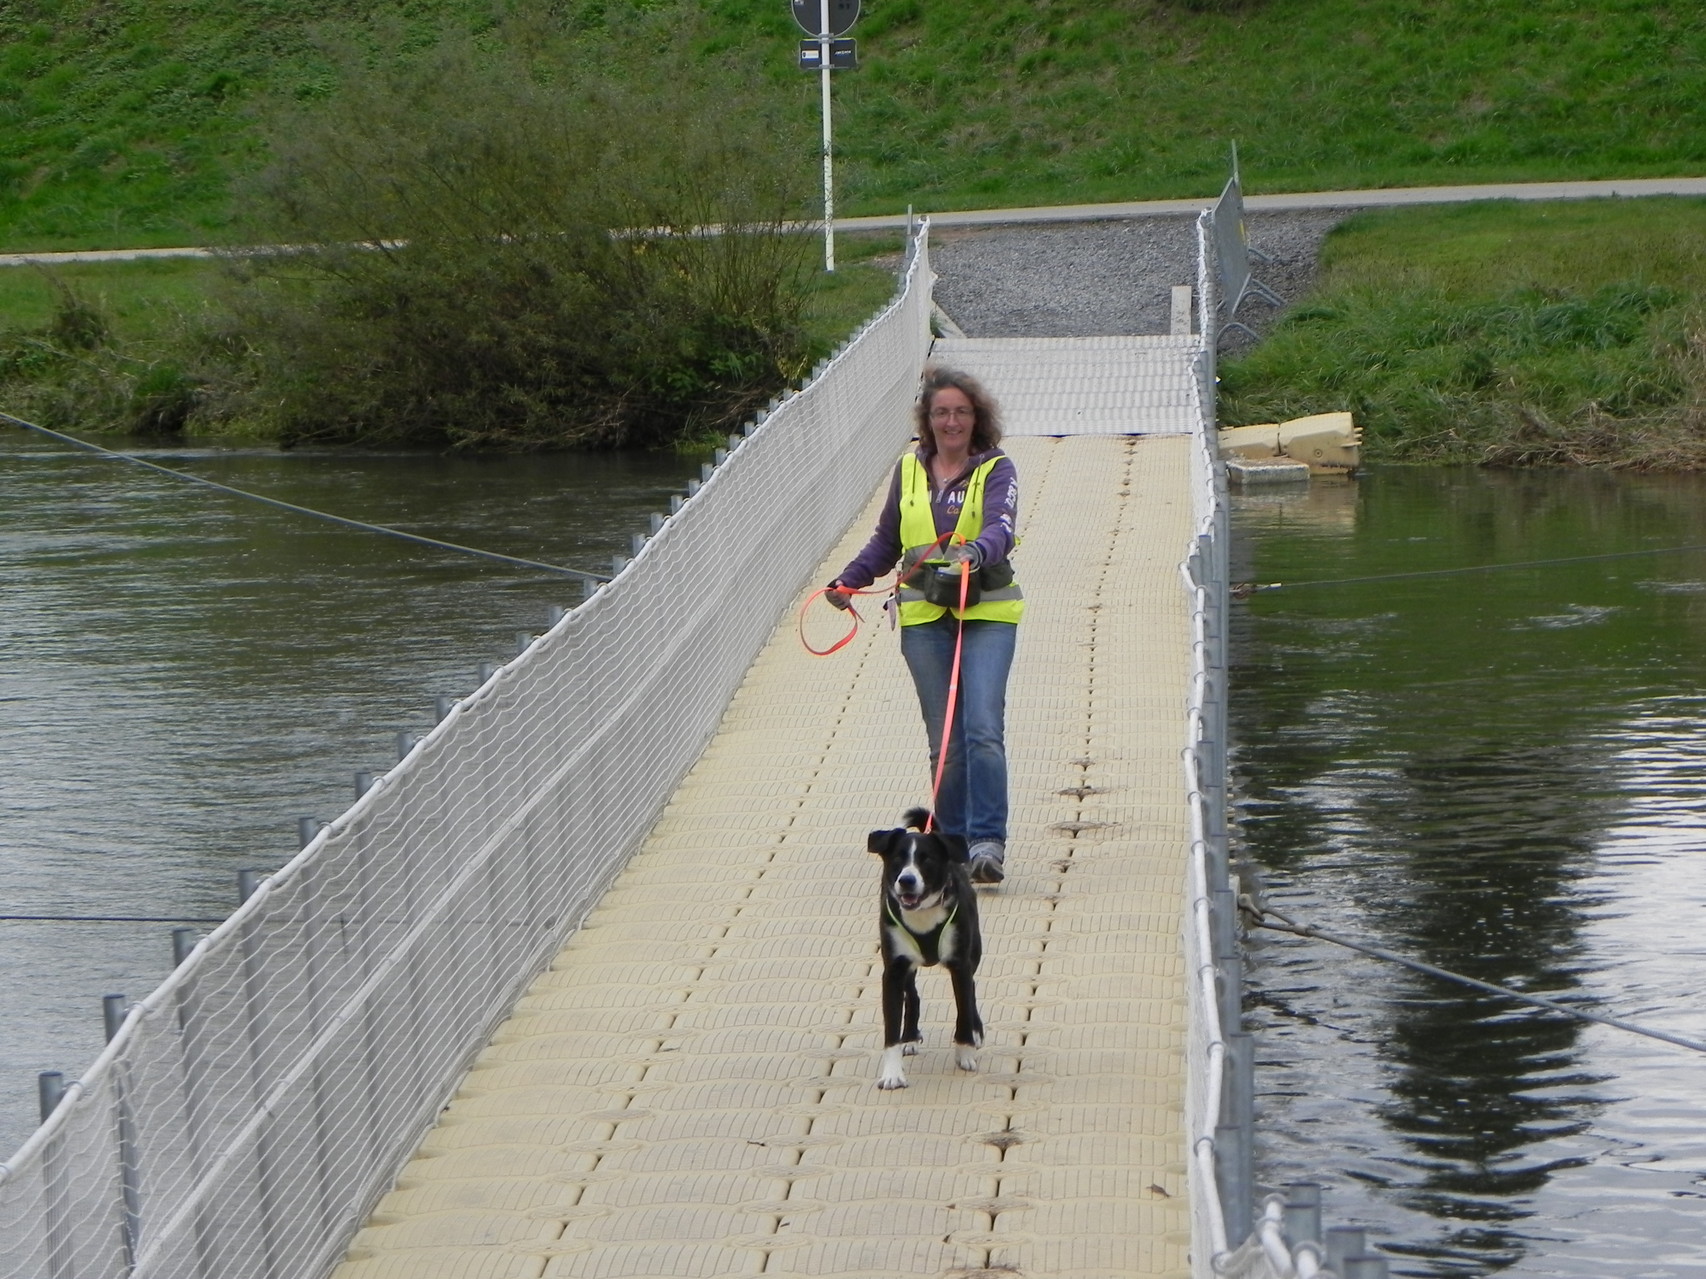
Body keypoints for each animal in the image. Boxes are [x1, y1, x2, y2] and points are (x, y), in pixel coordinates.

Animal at [866, 811, 989, 1091]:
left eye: (927, 859)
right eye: (898, 859)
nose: (907, 880)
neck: (923, 914)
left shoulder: (959, 963)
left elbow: (963, 1009)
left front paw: (965, 1052)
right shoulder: (894, 969)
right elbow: (891, 1026)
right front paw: (892, 1074)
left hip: (974, 951)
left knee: (971, 991)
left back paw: (976, 1031)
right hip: (907, 964)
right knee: (912, 994)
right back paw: (910, 1036)